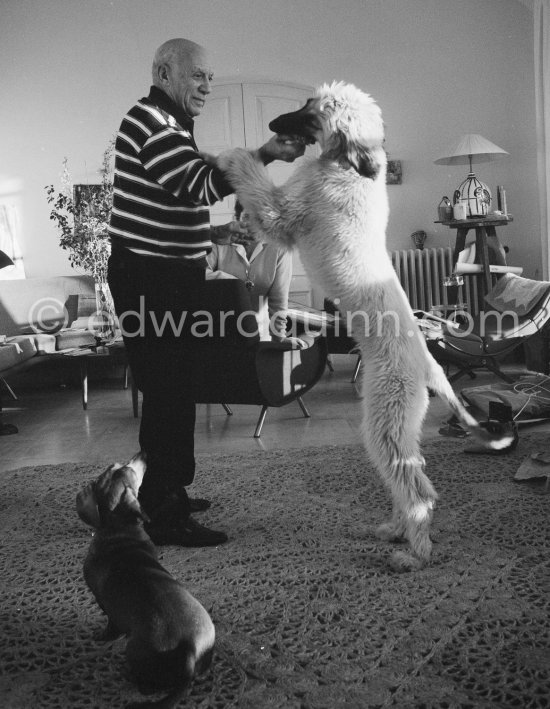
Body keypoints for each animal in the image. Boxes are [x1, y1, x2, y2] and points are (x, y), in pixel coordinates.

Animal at [77, 454, 216, 708]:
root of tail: (190, 650)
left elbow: (110, 625)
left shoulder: (105, 603)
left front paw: (103, 637)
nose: (142, 455)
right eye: (121, 467)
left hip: (133, 650)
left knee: (145, 686)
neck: (118, 530)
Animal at [216, 83, 512, 572]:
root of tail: (431, 365)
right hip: (398, 422)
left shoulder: (286, 214)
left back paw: (415, 553)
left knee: (417, 489)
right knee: (411, 480)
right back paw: (397, 529)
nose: (275, 125)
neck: (351, 167)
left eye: (309, 111)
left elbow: (257, 186)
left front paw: (232, 154)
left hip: (384, 419)